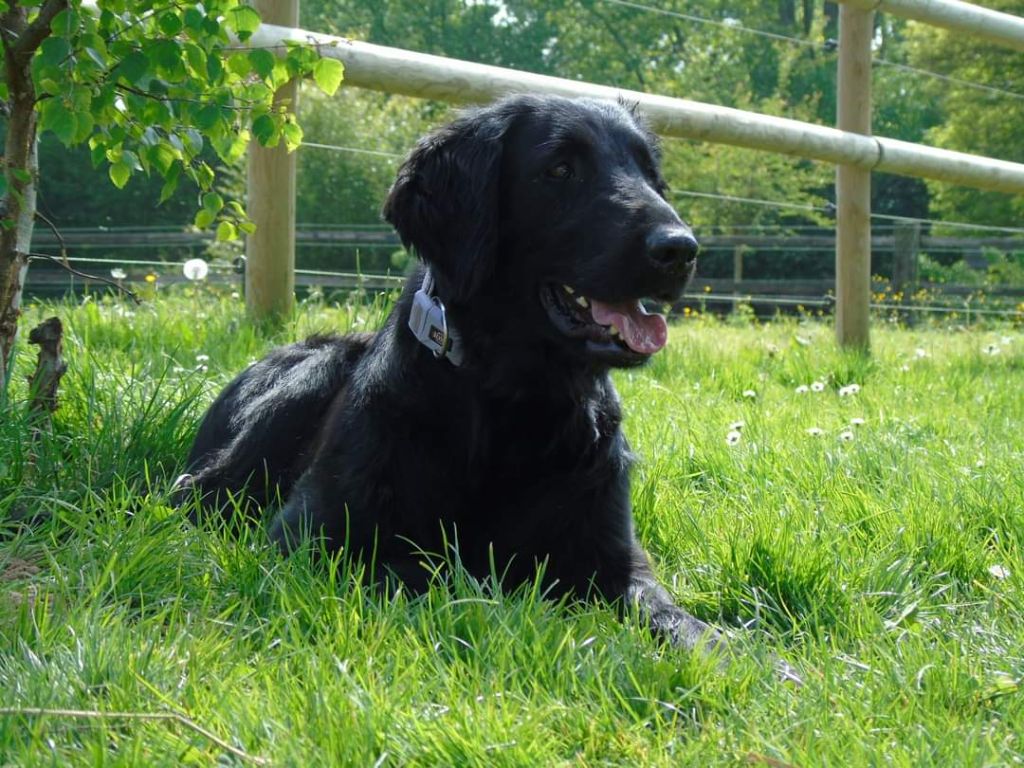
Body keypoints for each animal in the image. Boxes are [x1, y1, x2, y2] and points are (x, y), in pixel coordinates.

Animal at [180, 93, 745, 663]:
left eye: (652, 175)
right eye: (560, 170)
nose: (680, 249)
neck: (515, 403)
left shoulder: (616, 559)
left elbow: (685, 625)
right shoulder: (308, 538)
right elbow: (435, 576)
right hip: (312, 375)